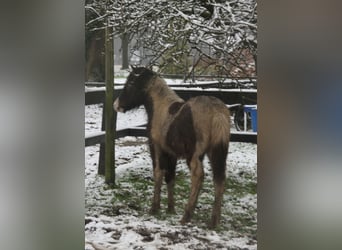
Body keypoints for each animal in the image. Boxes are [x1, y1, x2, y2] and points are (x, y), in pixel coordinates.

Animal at [114, 66, 230, 229]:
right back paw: (214, 221)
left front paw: (155, 207)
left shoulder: (158, 149)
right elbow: (170, 177)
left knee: (198, 176)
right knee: (219, 179)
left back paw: (186, 216)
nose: (116, 105)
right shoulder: (172, 154)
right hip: (216, 153)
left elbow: (158, 173)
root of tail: (216, 112)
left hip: (194, 155)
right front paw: (170, 208)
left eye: (130, 83)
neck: (161, 108)